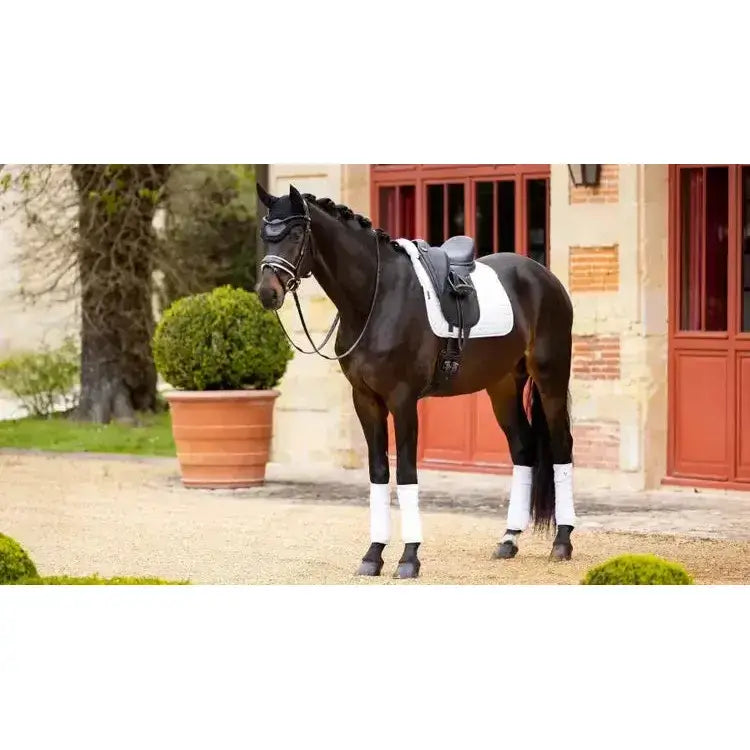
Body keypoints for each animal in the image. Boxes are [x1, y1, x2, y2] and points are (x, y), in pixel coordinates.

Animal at [255, 183, 576, 579]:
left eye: (297, 233)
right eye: (265, 234)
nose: (267, 291)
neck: (375, 300)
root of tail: (543, 276)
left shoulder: (403, 400)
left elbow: (407, 473)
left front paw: (409, 558)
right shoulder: (366, 400)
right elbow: (379, 472)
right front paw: (373, 555)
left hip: (551, 377)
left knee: (561, 447)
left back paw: (562, 542)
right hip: (501, 385)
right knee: (523, 449)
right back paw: (508, 539)